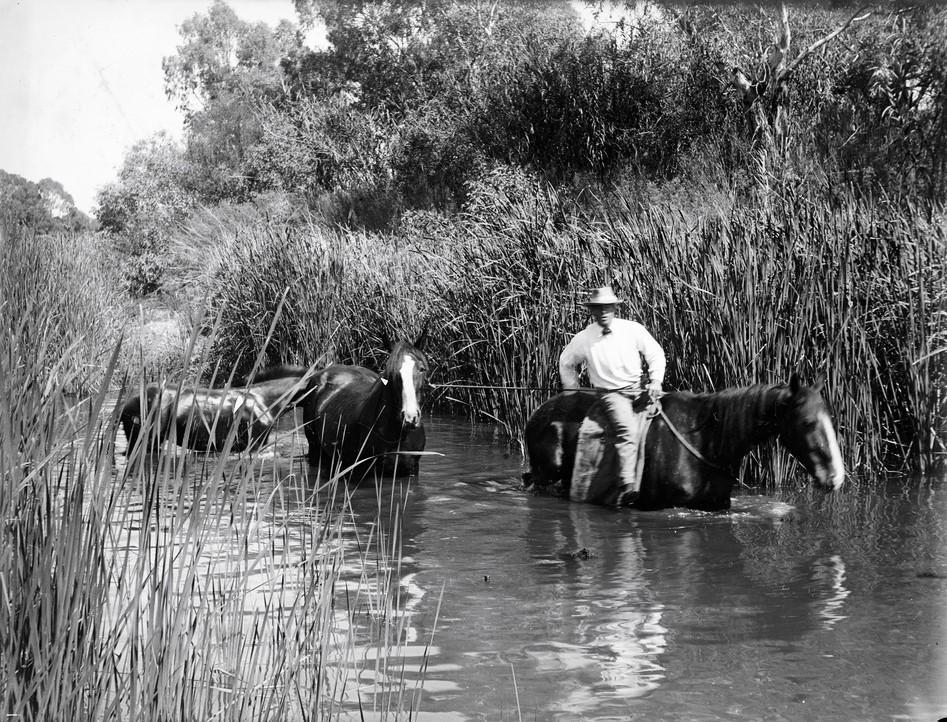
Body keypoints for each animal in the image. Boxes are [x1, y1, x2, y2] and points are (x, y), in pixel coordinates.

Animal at [524, 374, 844, 510]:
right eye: (807, 422)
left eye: (831, 418)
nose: (836, 477)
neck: (707, 440)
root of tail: (539, 410)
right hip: (545, 472)